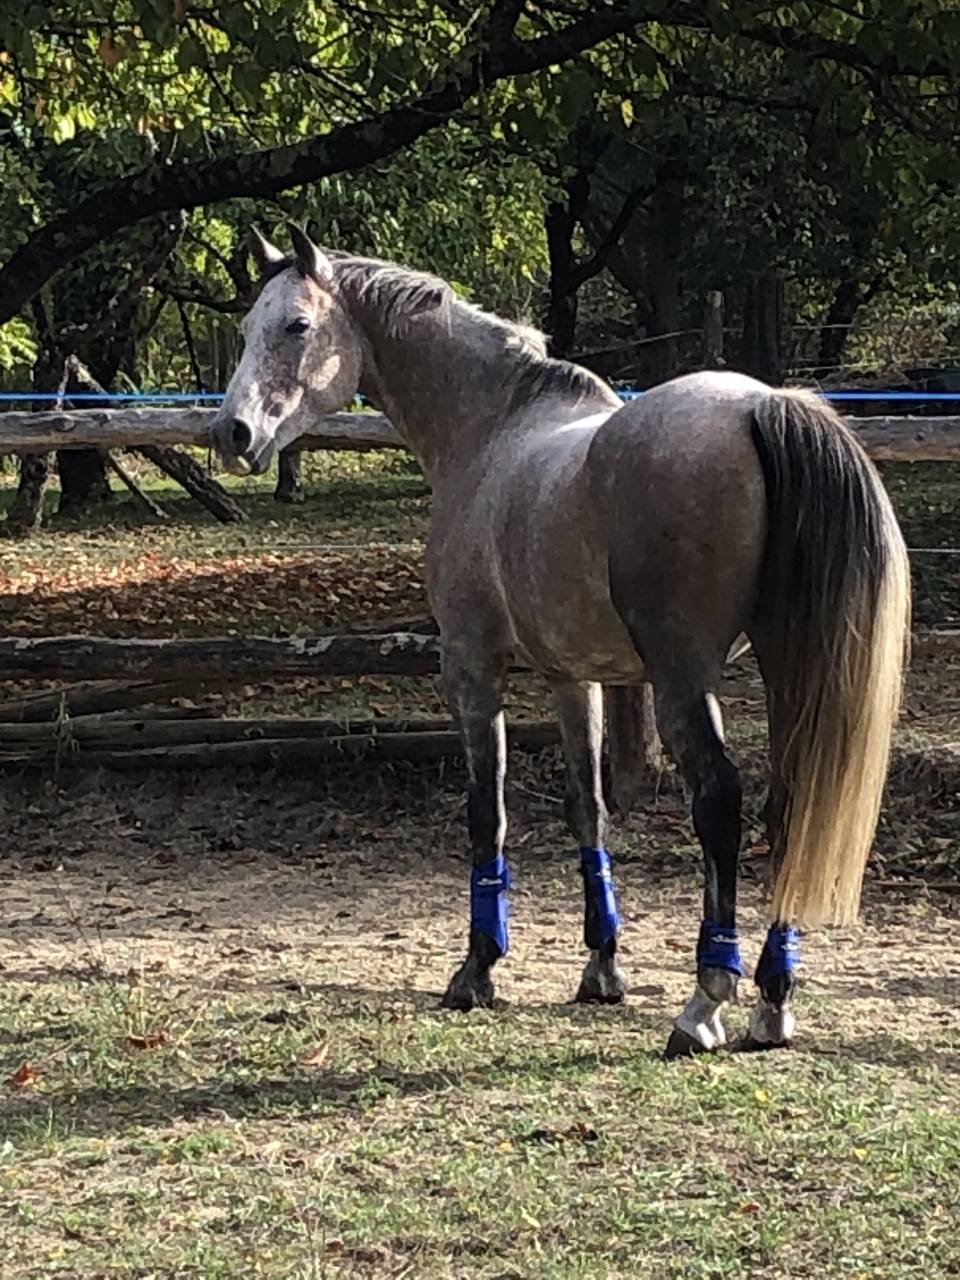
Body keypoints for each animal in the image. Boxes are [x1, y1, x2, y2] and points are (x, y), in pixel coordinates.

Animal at [212, 225, 910, 1056]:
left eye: (297, 326)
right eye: (247, 327)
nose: (232, 434)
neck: (490, 429)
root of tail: (763, 405)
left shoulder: (472, 669)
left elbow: (488, 812)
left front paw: (477, 969)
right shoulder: (573, 678)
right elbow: (588, 808)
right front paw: (602, 966)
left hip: (686, 677)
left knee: (720, 800)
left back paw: (704, 1002)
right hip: (786, 666)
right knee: (791, 803)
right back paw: (772, 1000)